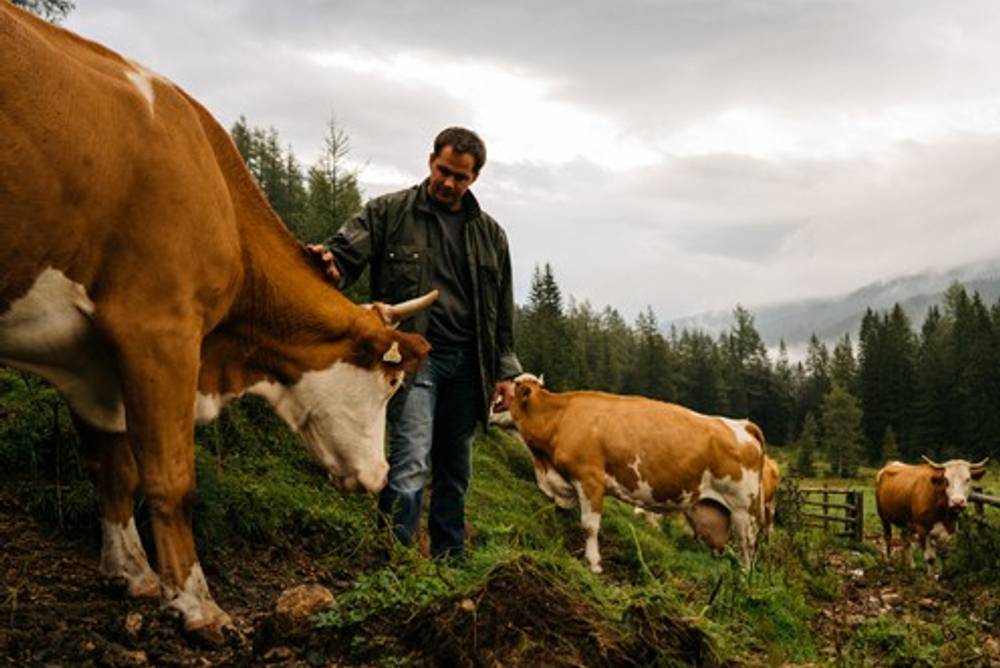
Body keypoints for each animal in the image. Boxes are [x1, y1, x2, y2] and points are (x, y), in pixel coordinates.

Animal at [1, 3, 436, 640]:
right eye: (391, 381)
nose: (380, 475)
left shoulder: (91, 363)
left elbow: (112, 469)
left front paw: (130, 573)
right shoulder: (160, 326)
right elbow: (171, 478)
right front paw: (194, 604)